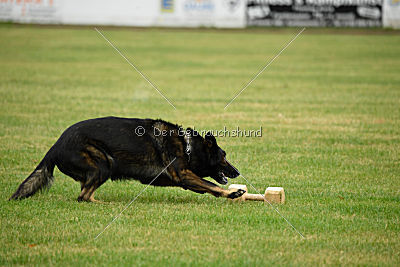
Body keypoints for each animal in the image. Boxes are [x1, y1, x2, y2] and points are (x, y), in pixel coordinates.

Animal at [9, 117, 245, 203]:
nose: (237, 172)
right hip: (104, 164)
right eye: (224, 156)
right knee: (83, 197)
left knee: (84, 193)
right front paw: (232, 193)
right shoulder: (184, 175)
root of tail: (55, 146)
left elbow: (206, 187)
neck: (187, 146)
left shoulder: (178, 179)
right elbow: (210, 184)